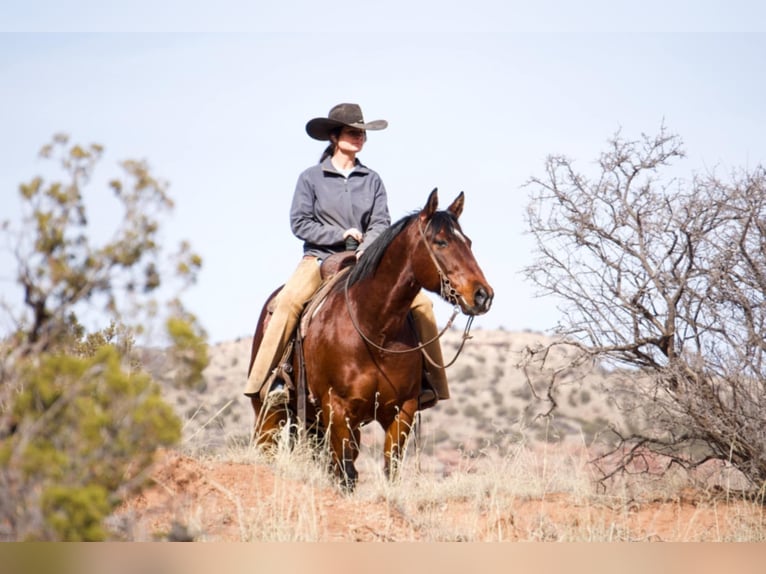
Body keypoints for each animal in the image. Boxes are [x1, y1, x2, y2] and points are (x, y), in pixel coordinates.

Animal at [249, 189, 496, 490]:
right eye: (441, 242)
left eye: (468, 242)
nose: (483, 295)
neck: (374, 327)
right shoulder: (337, 409)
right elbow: (346, 474)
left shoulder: (401, 411)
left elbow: (389, 470)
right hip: (270, 414)